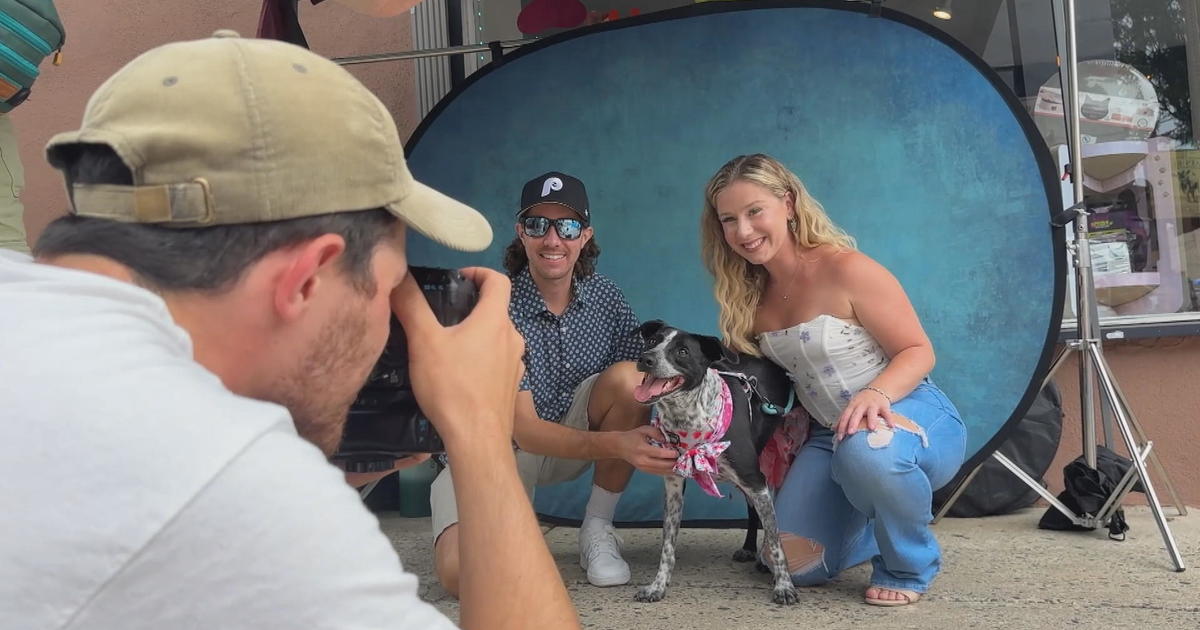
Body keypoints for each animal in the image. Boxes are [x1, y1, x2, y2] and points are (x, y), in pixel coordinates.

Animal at [628, 321, 796, 602]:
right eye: (651, 341)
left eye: (683, 351)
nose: (646, 359)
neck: (689, 420)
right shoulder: (674, 486)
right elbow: (668, 546)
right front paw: (658, 585)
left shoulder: (755, 480)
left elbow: (775, 538)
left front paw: (784, 585)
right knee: (753, 510)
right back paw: (749, 548)